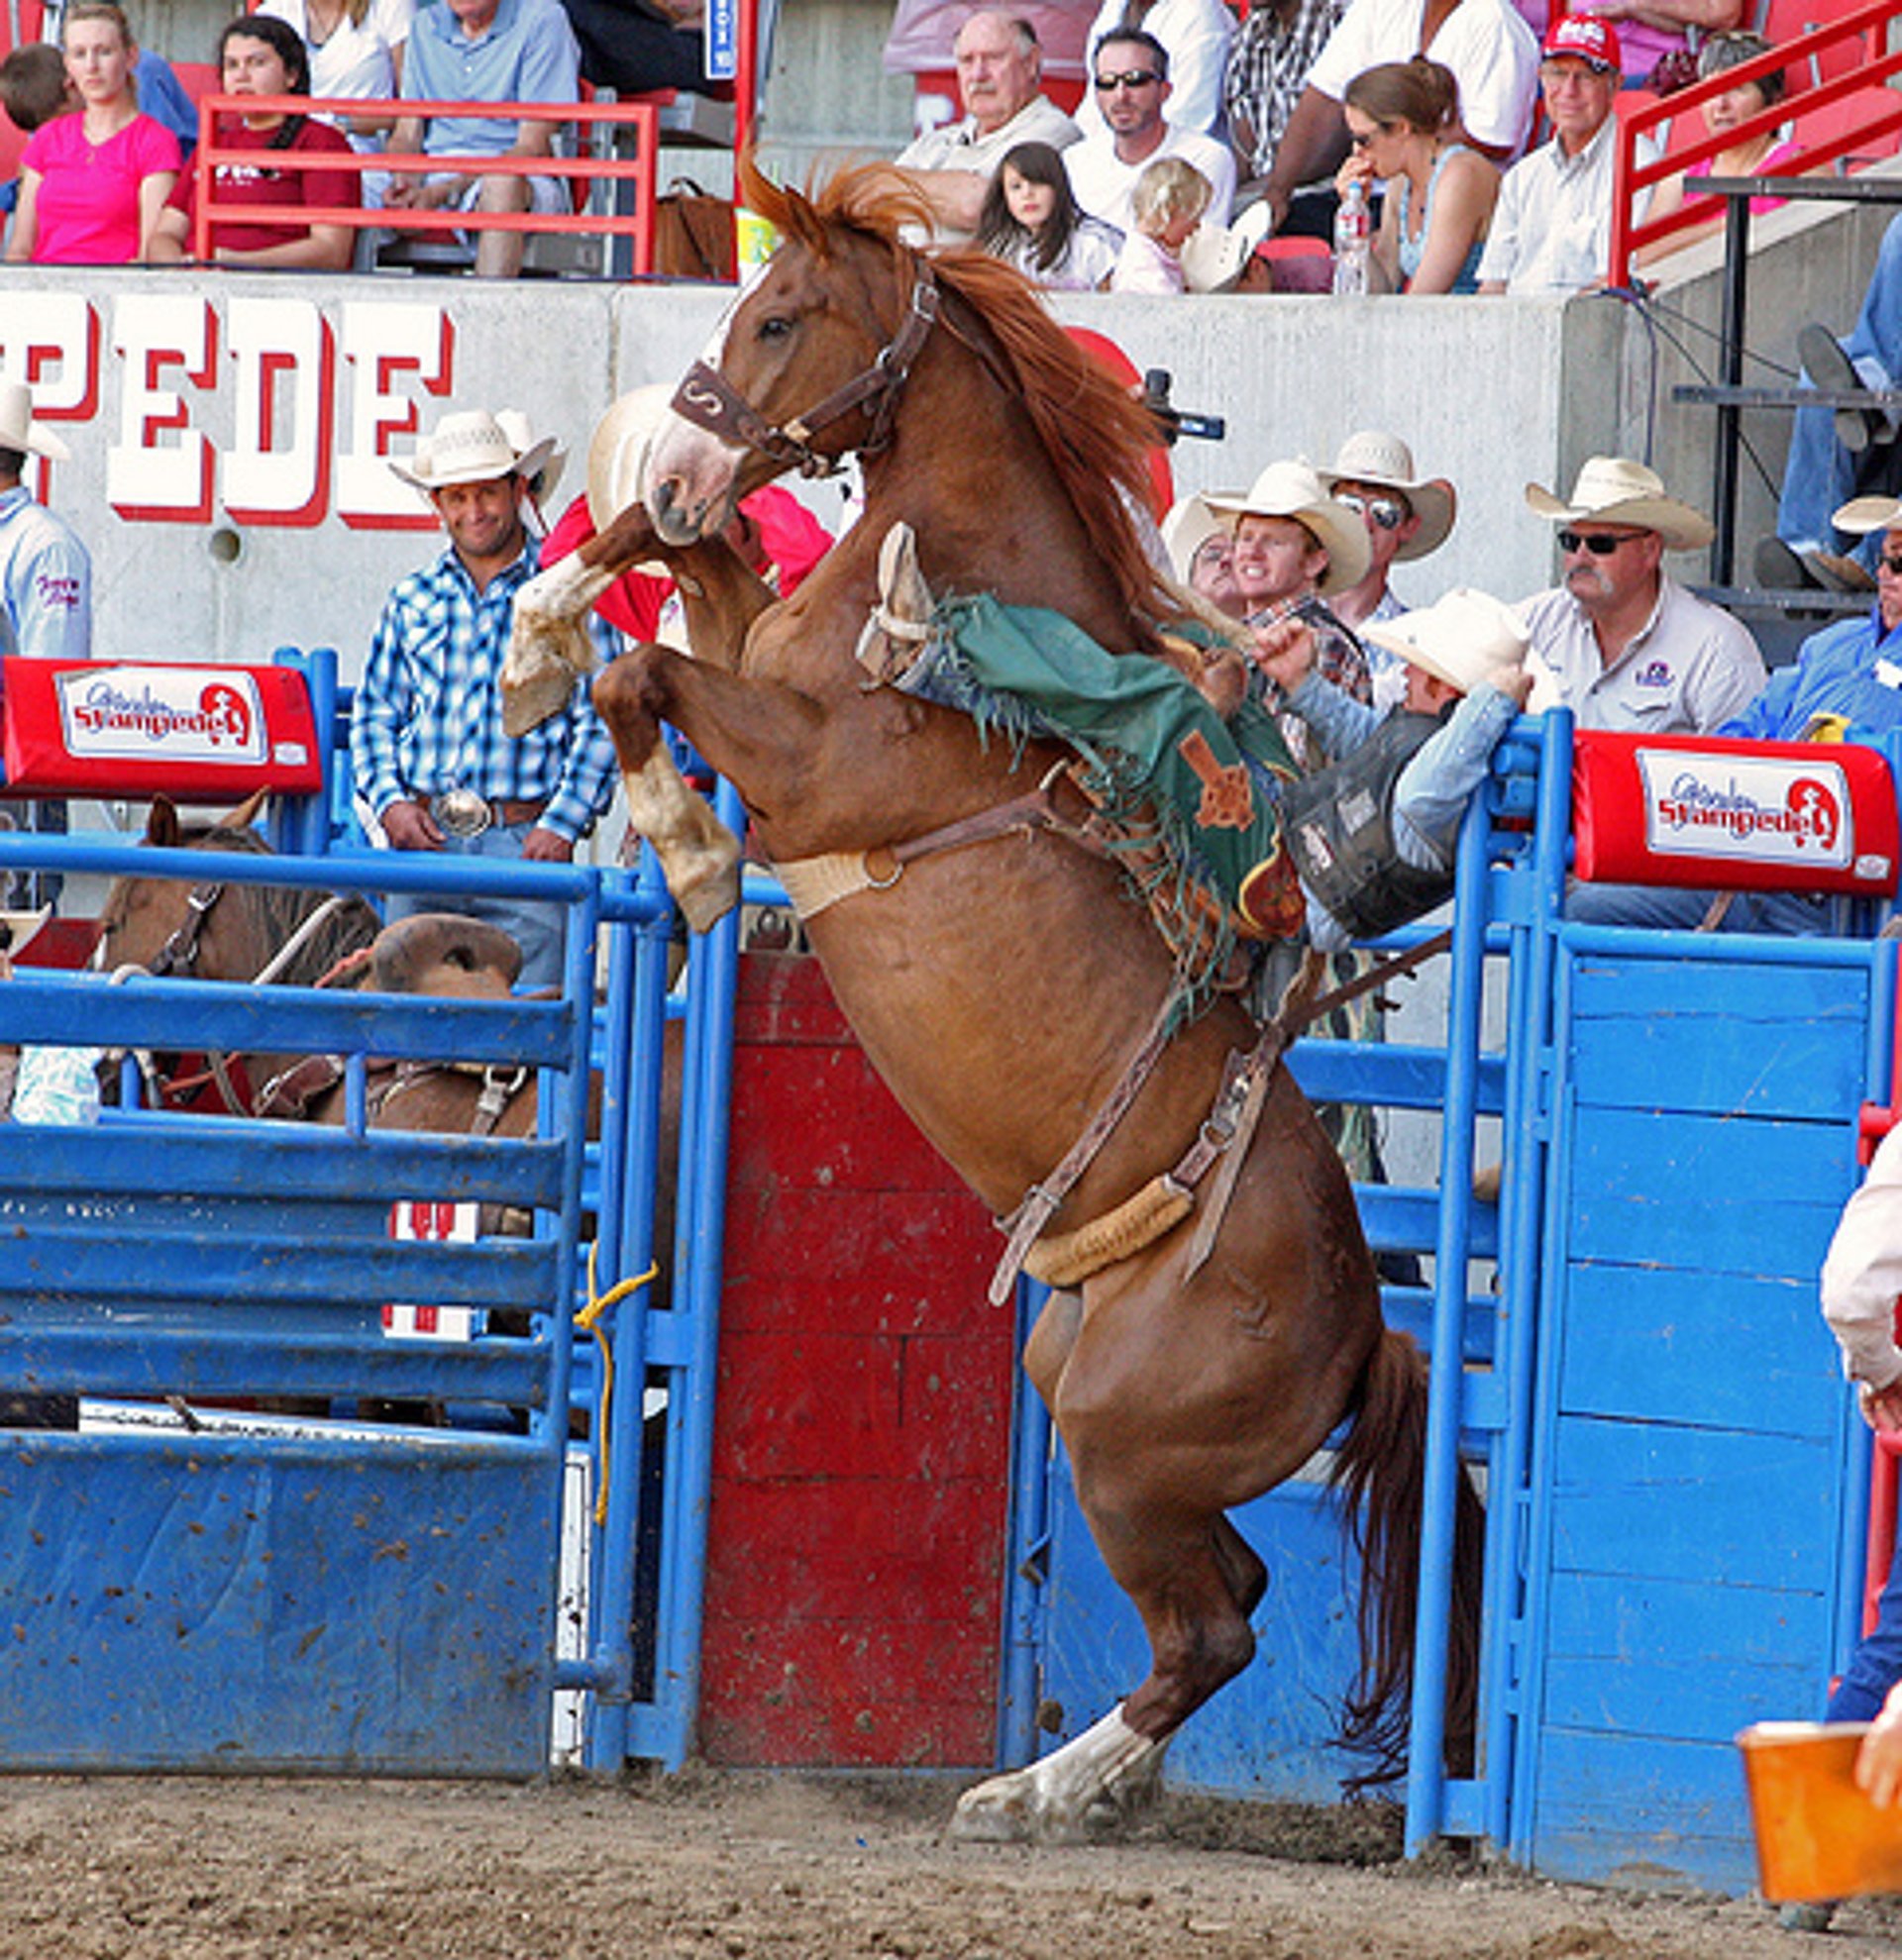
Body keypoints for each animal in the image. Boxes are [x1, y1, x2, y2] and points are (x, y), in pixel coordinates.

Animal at [499, 156, 1482, 1834]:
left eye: (780, 318)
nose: (693, 448)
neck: (962, 594)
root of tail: (1371, 1332)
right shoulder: (753, 627)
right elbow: (674, 574)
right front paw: (541, 625)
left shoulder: (815, 764)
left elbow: (655, 683)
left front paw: (690, 855)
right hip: (1091, 1400)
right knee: (1232, 1594)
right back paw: (1078, 1778)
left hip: (1122, 1443)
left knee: (1216, 1626)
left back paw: (1033, 1788)